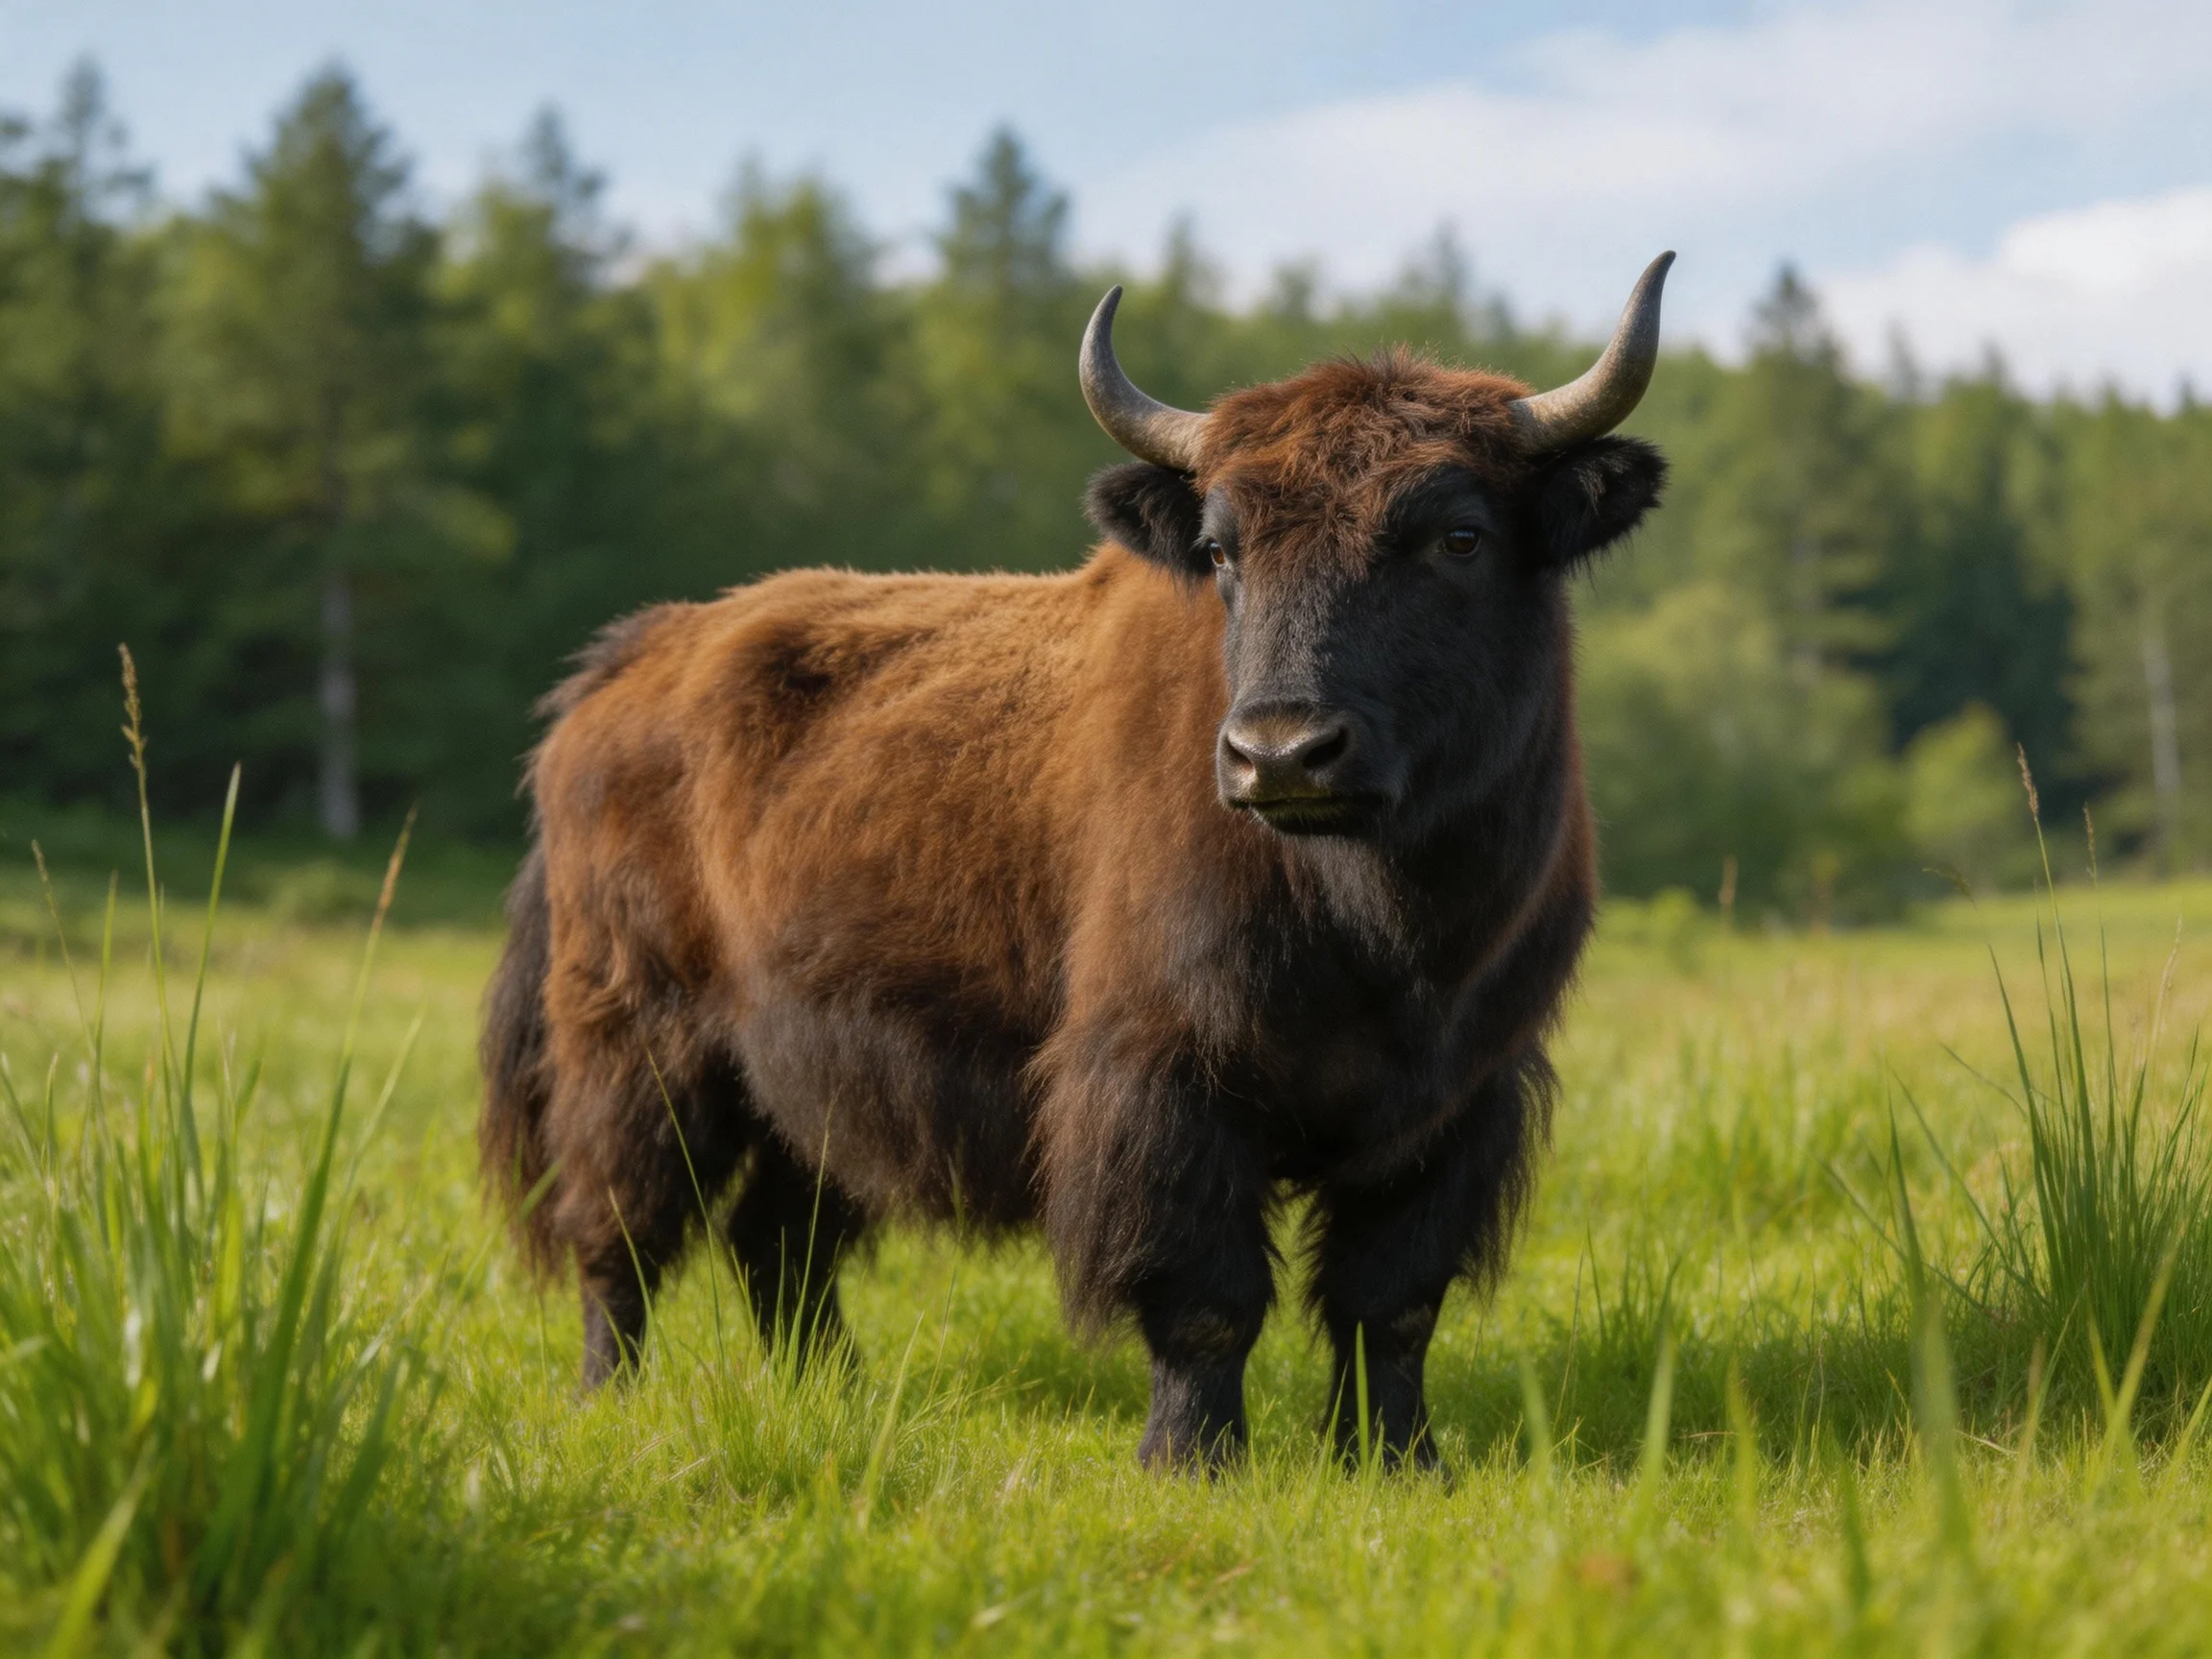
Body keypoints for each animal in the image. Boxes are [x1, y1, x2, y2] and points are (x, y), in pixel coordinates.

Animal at [481, 253, 1673, 1468]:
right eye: (1221, 549)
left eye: (1460, 537)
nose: (1280, 753)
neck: (1378, 925)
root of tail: (627, 664)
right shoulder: (1162, 1078)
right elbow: (1206, 1298)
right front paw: (1191, 1461)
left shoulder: (1457, 1106)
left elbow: (1390, 1301)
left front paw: (1396, 1462)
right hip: (639, 1040)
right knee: (620, 1231)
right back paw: (607, 1404)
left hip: (799, 1078)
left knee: (780, 1236)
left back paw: (837, 1397)